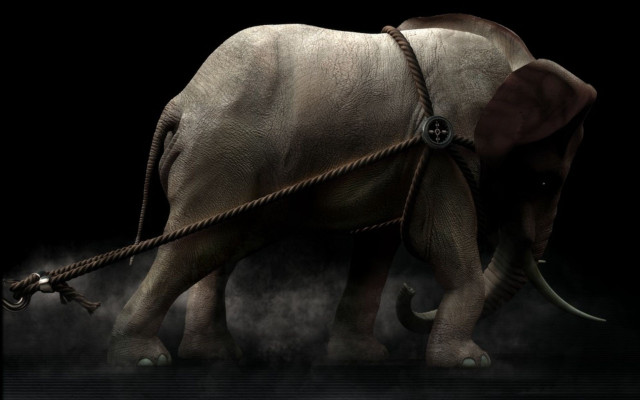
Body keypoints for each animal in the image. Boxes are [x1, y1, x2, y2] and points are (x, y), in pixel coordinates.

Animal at [107, 14, 601, 368]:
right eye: (546, 181)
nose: (411, 293)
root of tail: (182, 103)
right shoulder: (445, 153)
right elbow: (442, 243)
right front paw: (471, 363)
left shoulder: (412, 164)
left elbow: (379, 244)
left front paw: (363, 359)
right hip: (221, 156)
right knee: (195, 245)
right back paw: (144, 359)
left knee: (218, 247)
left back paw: (213, 357)